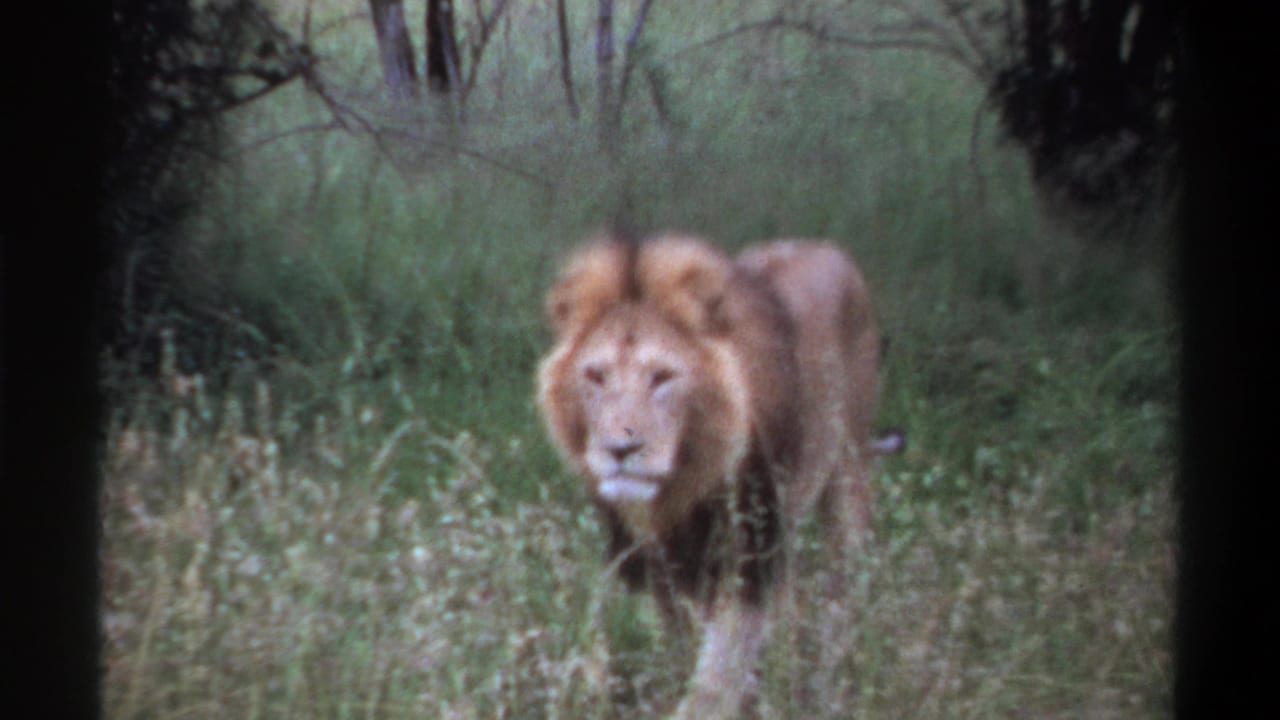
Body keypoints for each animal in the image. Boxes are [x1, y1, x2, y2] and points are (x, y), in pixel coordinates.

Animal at [536, 232, 889, 717]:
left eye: (662, 377)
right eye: (596, 376)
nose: (620, 449)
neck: (680, 483)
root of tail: (824, 246)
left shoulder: (750, 560)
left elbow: (716, 673)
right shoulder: (652, 561)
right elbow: (677, 646)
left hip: (847, 473)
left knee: (844, 588)